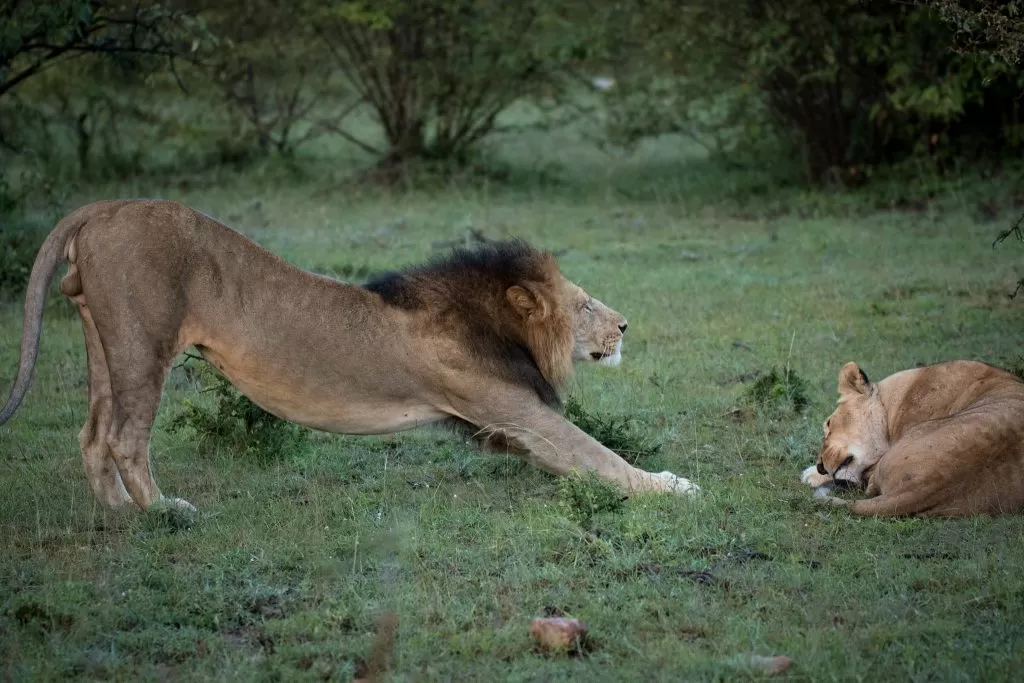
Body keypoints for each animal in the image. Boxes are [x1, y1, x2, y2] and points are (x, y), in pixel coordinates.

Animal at [0, 200, 696, 509]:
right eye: (585, 306)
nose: (625, 325)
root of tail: (103, 209)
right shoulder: (515, 409)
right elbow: (596, 453)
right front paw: (674, 486)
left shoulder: (499, 426)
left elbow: (577, 463)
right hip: (145, 342)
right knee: (124, 436)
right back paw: (164, 513)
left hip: (105, 339)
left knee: (93, 432)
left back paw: (118, 513)